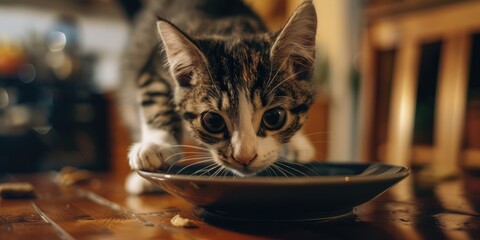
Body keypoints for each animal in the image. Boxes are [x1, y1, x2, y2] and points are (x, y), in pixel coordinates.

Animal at [117, 0, 318, 193]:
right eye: (213, 121)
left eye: (273, 117)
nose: (244, 157)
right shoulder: (153, 69)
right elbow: (155, 96)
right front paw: (156, 145)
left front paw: (295, 144)